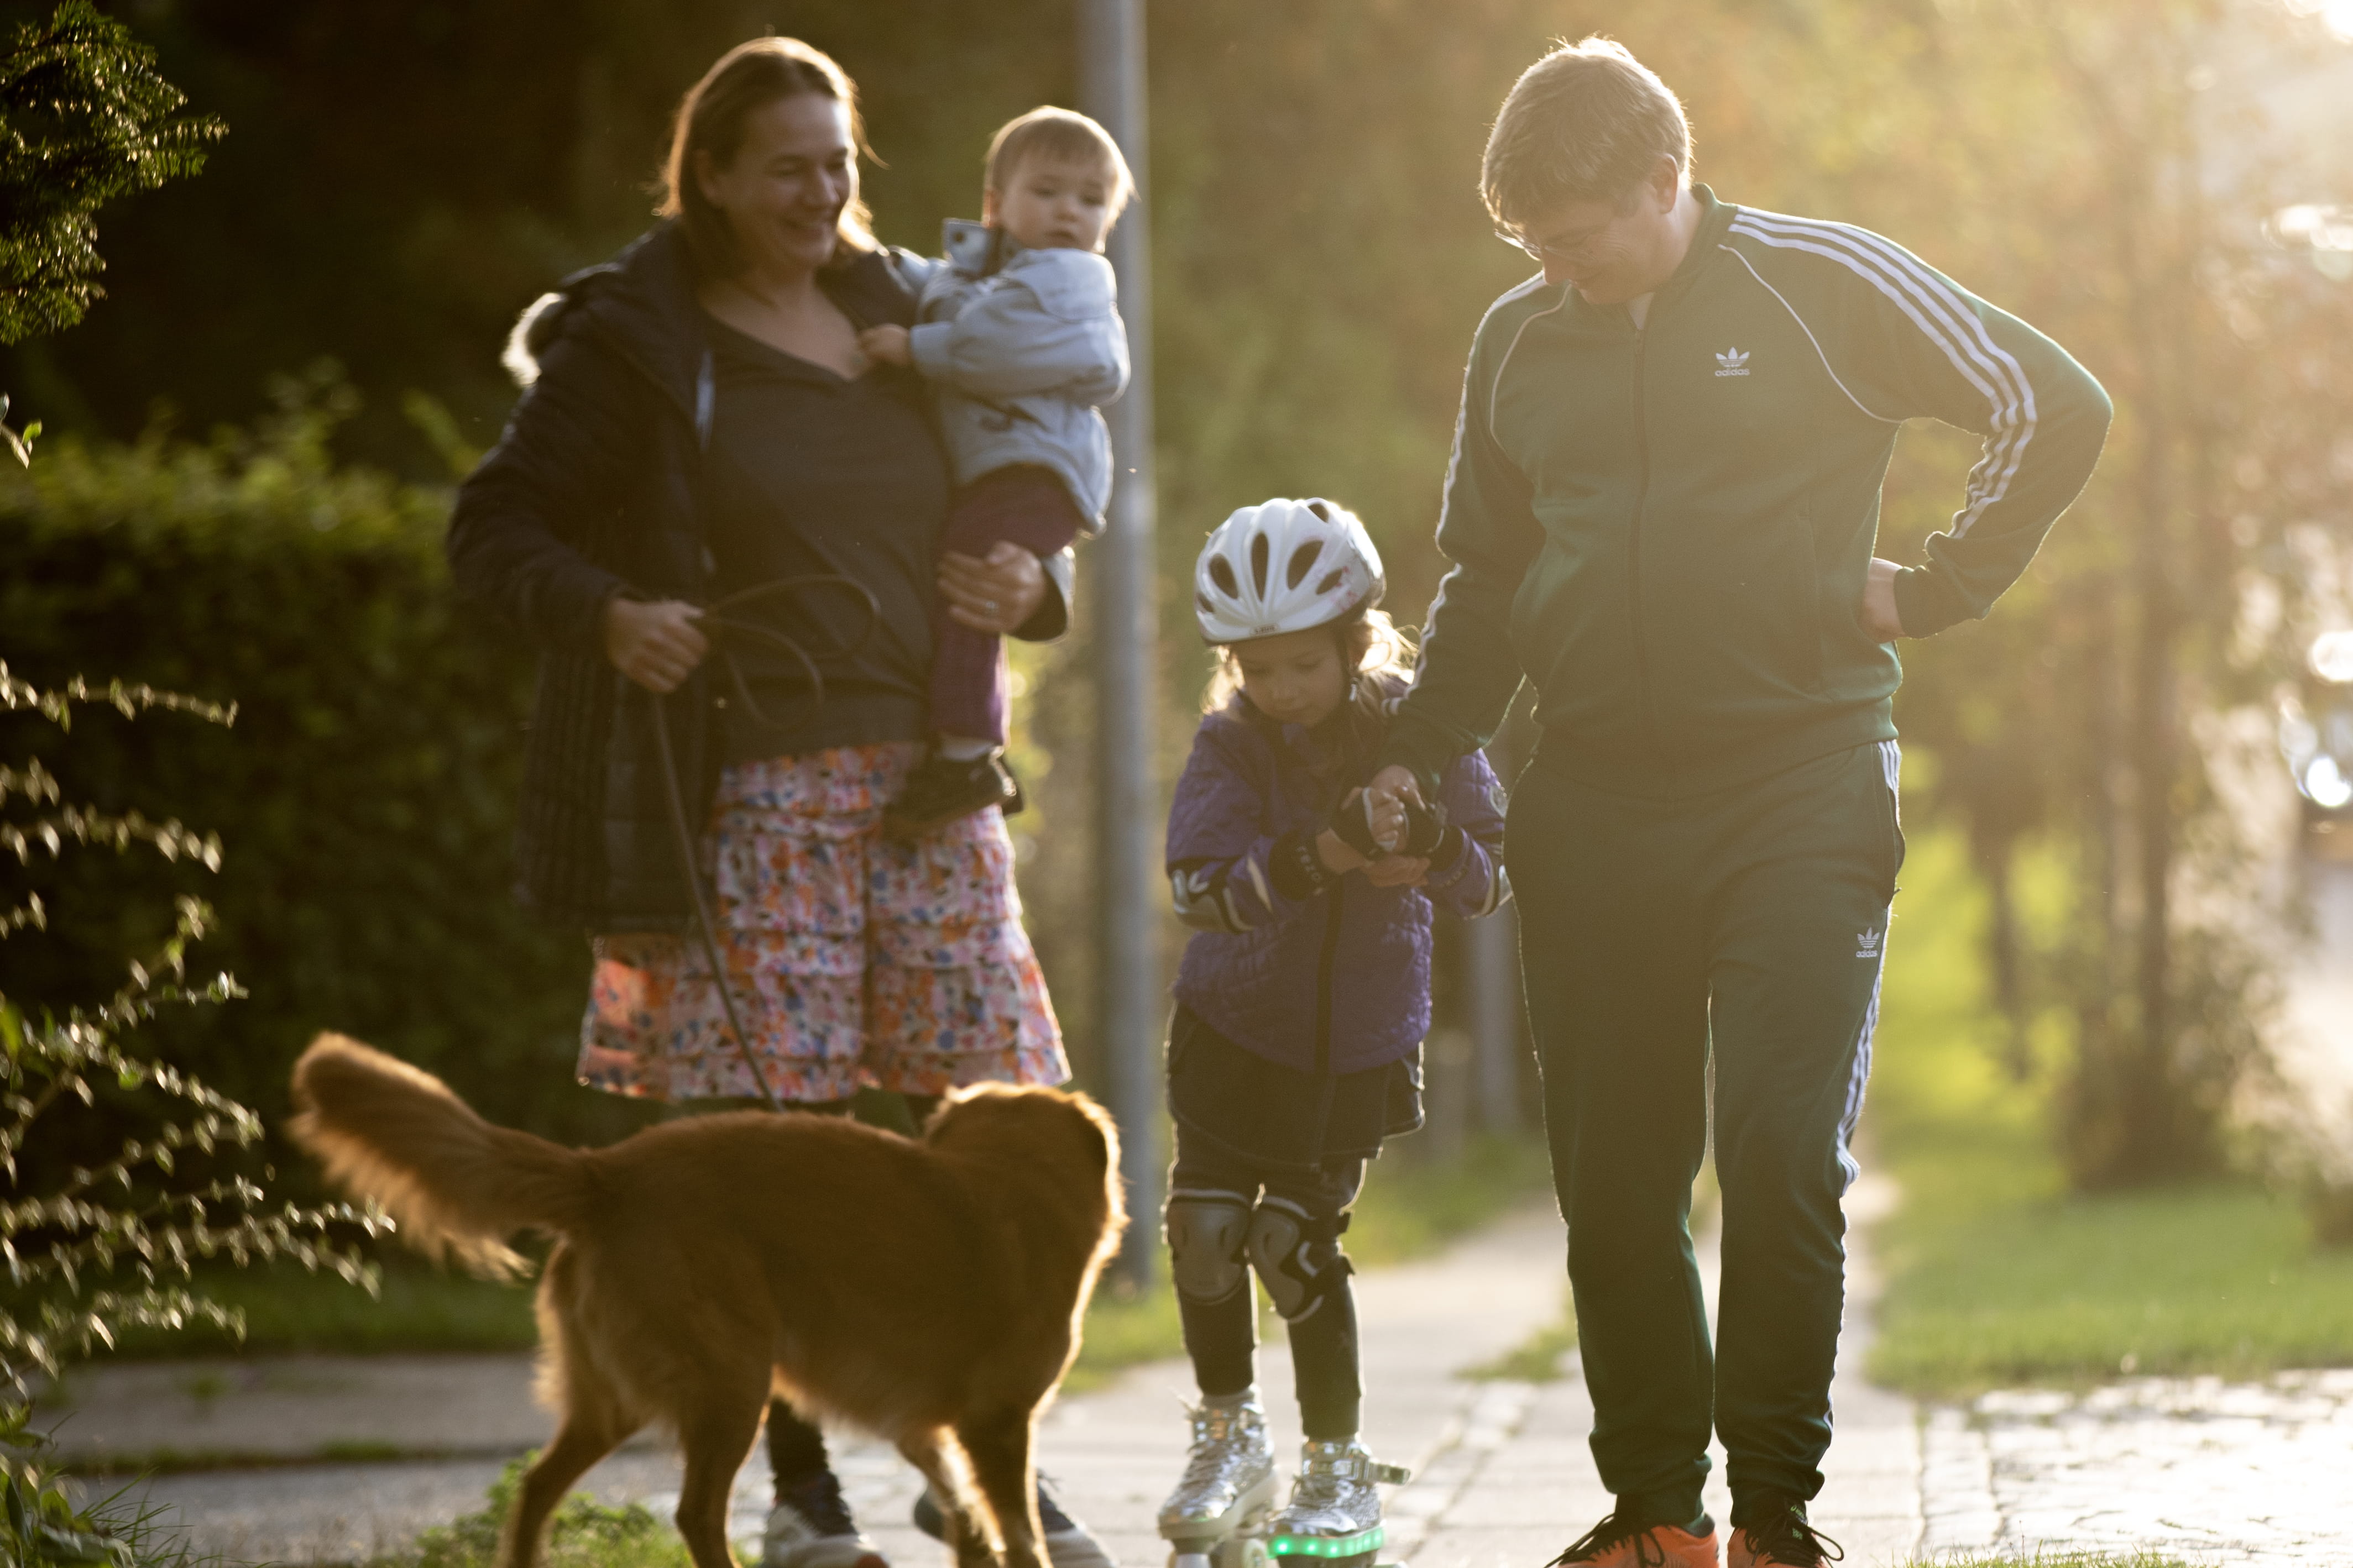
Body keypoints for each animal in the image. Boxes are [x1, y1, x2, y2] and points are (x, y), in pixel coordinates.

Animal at [289, 1034, 1125, 1568]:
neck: (1013, 1176)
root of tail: (607, 1172)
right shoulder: (995, 1425)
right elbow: (1019, 1534)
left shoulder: (926, 1427)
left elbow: (970, 1524)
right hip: (733, 1383)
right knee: (695, 1512)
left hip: (613, 1401)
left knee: (535, 1487)